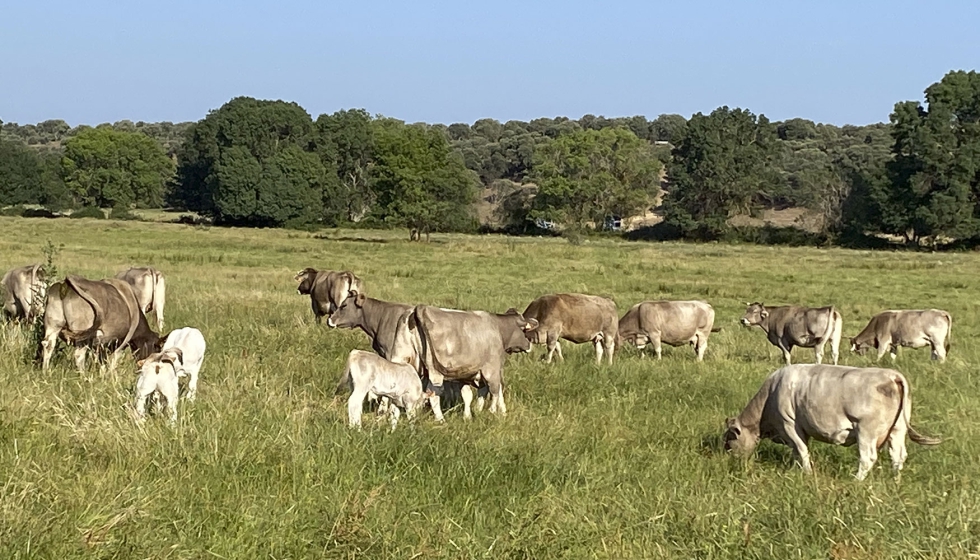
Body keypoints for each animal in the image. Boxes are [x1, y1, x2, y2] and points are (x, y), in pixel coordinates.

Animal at [412, 306, 540, 420]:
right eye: (524, 331)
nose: (530, 345)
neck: (497, 327)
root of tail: (423, 308)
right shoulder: (492, 370)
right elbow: (495, 391)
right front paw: (493, 412)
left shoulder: (467, 376)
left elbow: (471, 395)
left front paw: (472, 415)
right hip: (435, 373)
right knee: (433, 394)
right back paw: (440, 419)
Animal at [720, 366, 940, 480]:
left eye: (729, 441)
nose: (731, 461)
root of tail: (892, 375)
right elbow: (797, 452)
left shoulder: (790, 424)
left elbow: (802, 450)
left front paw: (808, 473)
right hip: (897, 430)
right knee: (898, 456)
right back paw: (895, 480)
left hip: (866, 431)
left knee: (868, 458)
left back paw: (856, 481)